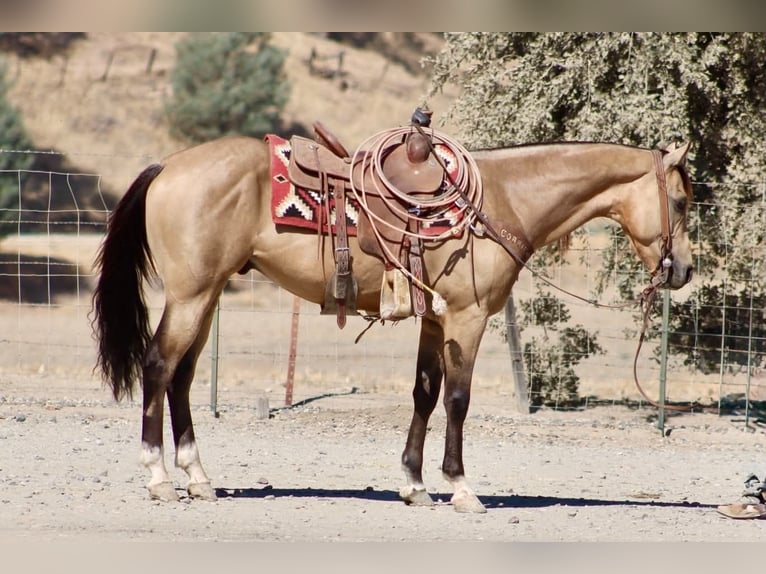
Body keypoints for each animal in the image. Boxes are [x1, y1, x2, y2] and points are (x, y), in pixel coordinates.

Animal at [91, 132, 694, 513]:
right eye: (684, 201)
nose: (685, 269)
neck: (502, 199)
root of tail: (168, 166)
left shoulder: (435, 320)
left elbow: (424, 394)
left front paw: (414, 485)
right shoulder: (468, 319)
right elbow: (457, 400)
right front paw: (461, 488)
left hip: (208, 295)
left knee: (183, 377)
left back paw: (198, 479)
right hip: (191, 296)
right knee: (158, 366)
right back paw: (159, 478)